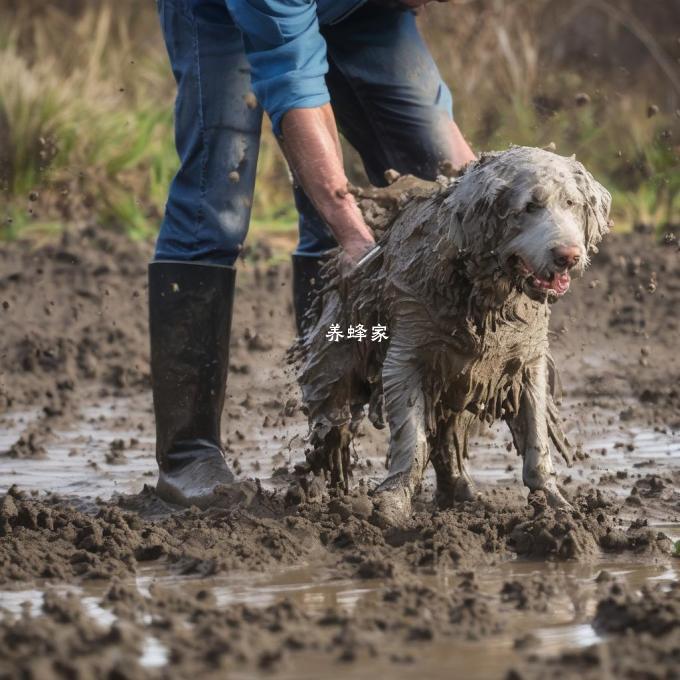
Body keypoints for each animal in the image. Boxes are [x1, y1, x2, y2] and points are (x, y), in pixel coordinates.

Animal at [294, 146, 612, 524]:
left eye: (571, 203)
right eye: (529, 207)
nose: (568, 256)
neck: (486, 296)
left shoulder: (527, 364)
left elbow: (537, 442)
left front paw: (557, 506)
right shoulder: (406, 357)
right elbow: (413, 439)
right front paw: (393, 503)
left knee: (447, 437)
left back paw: (460, 492)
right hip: (338, 363)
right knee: (331, 425)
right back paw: (314, 495)